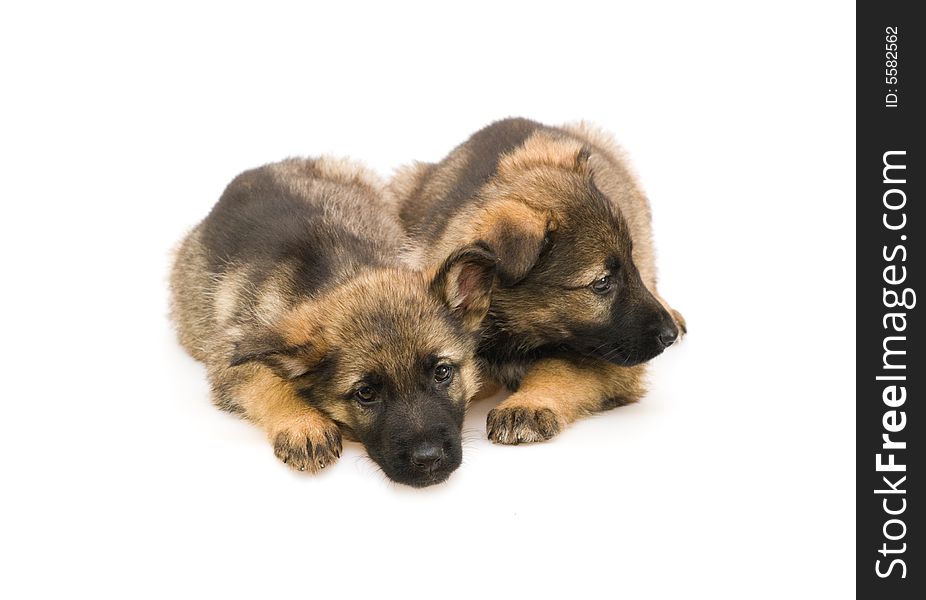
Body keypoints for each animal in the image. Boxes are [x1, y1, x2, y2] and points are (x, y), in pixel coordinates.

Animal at [169, 157, 496, 486]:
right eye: (365, 393)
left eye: (442, 372)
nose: (429, 460)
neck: (341, 272)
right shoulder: (229, 353)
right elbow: (264, 380)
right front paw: (303, 423)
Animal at [388, 118, 684, 446]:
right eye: (602, 283)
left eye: (629, 266)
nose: (668, 336)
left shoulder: (608, 357)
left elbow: (560, 368)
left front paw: (526, 405)